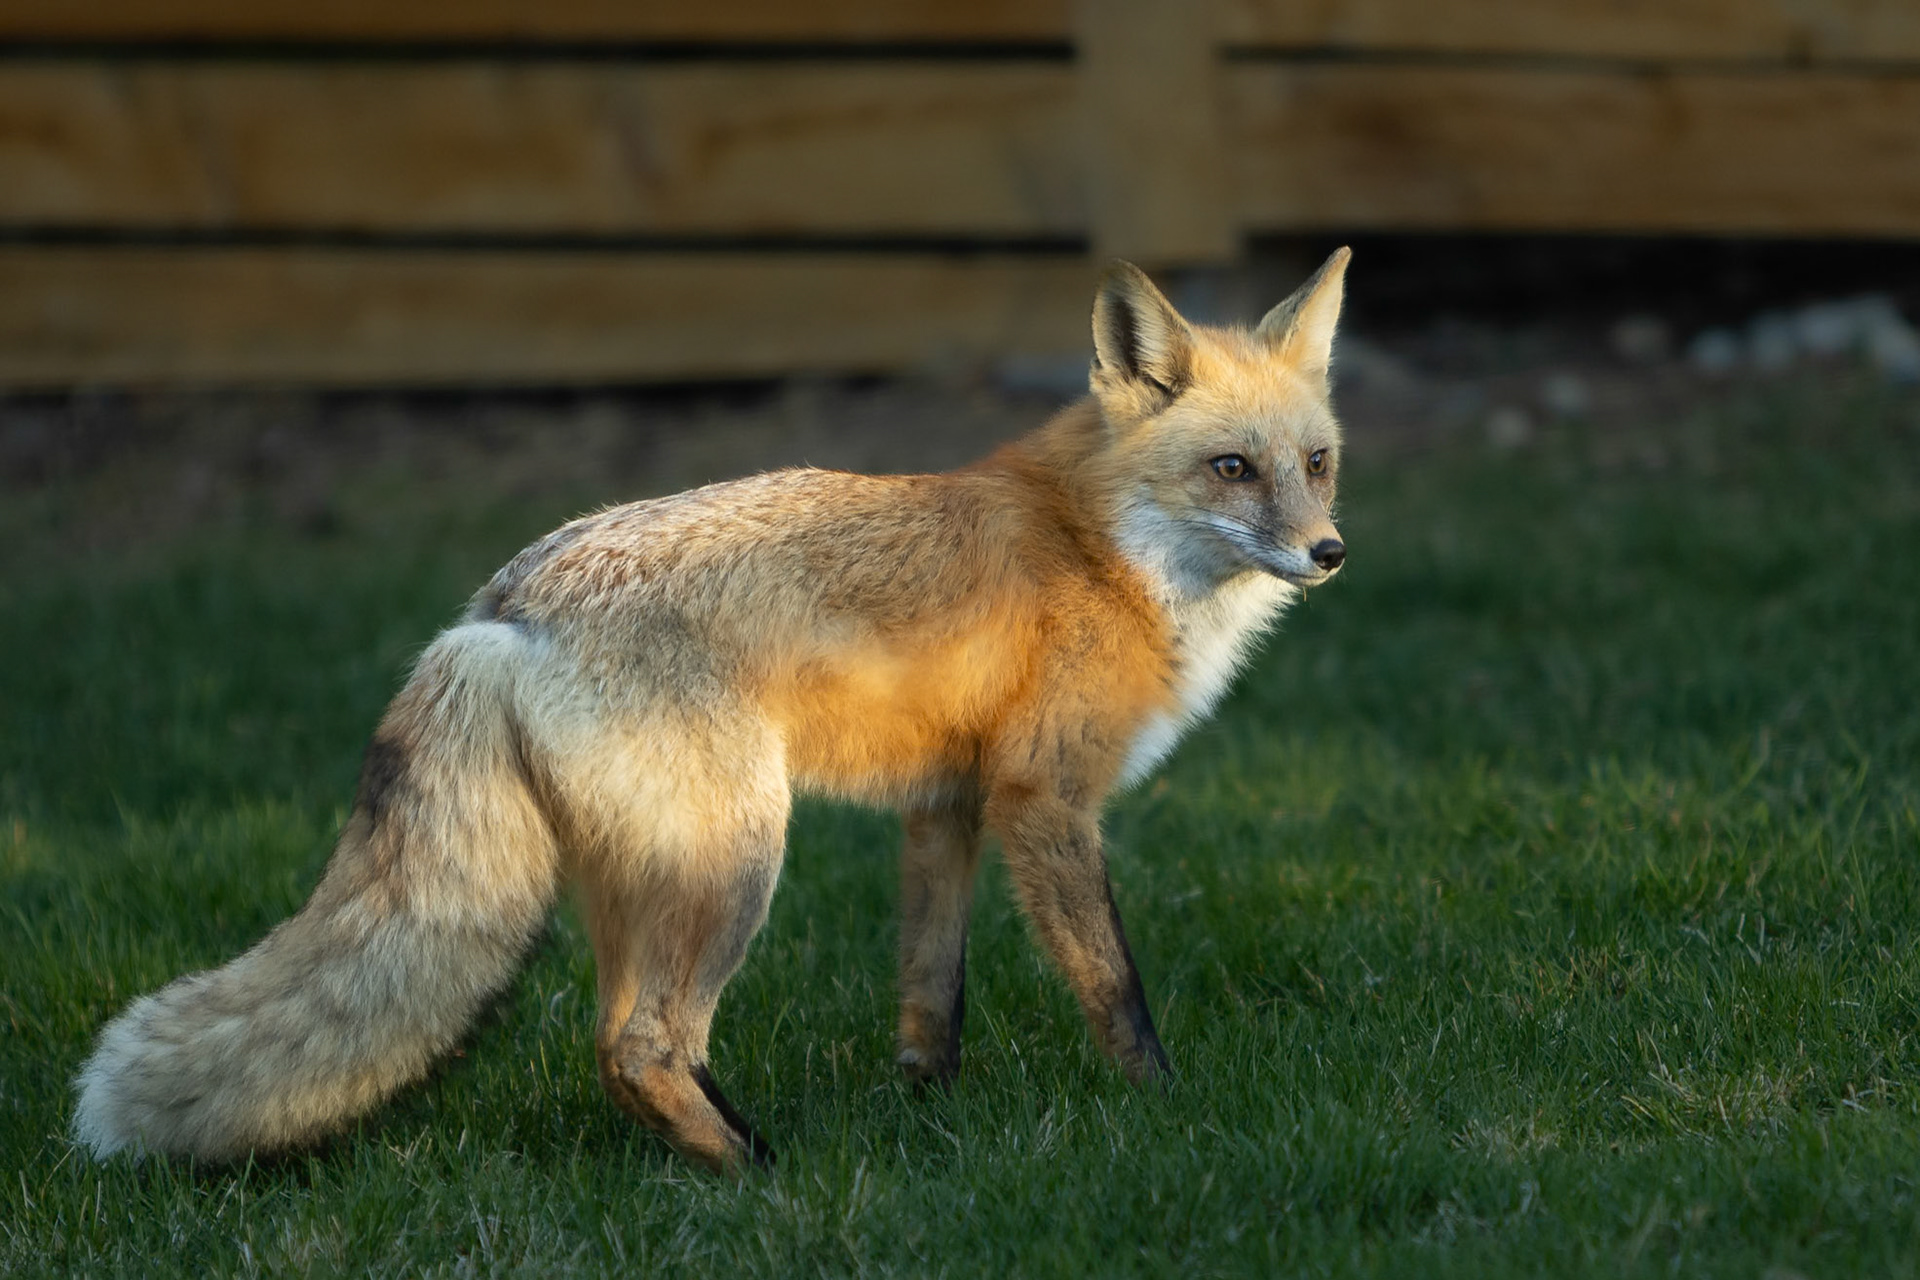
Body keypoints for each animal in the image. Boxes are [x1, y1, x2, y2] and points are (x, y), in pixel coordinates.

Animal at [72, 250, 1352, 1174]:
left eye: (1318, 463)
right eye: (1232, 468)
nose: (1329, 554)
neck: (1101, 545)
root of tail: (498, 606)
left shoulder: (946, 805)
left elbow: (931, 992)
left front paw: (928, 1114)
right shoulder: (1044, 797)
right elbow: (1115, 984)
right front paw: (1167, 1111)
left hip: (643, 874)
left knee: (622, 1041)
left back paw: (729, 1149)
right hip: (734, 854)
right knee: (644, 1042)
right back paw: (756, 1171)